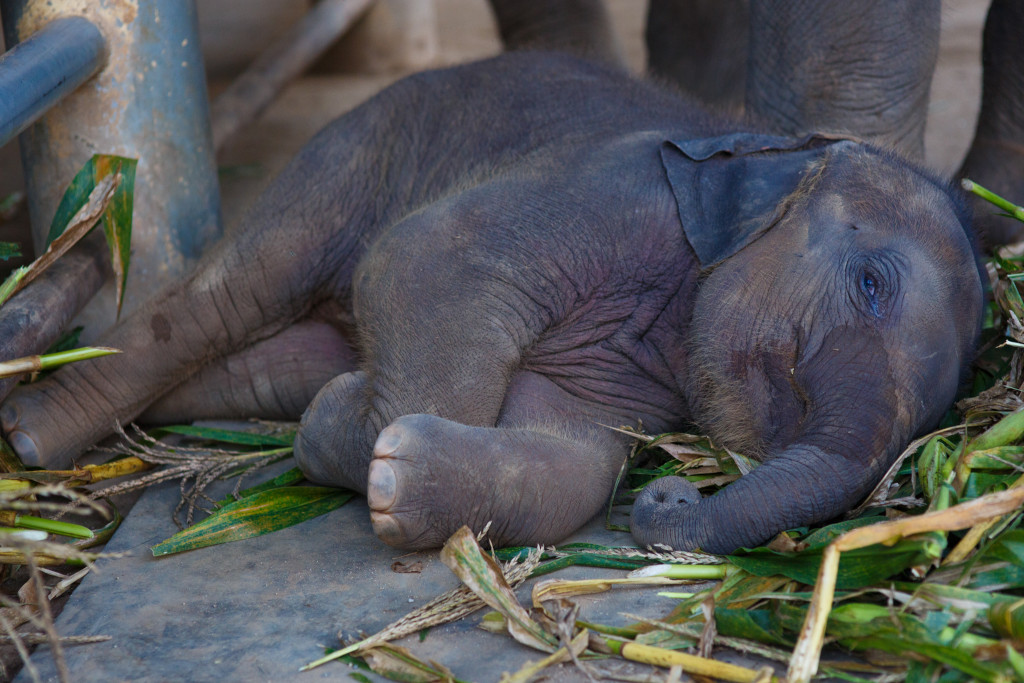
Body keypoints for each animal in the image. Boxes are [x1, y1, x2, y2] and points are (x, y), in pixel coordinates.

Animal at [0, 53, 983, 557]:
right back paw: (31, 437)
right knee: (229, 295)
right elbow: (426, 255)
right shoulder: (607, 192)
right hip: (350, 154)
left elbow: (569, 463)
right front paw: (350, 428)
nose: (670, 490)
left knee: (252, 366)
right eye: (871, 285)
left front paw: (379, 463)